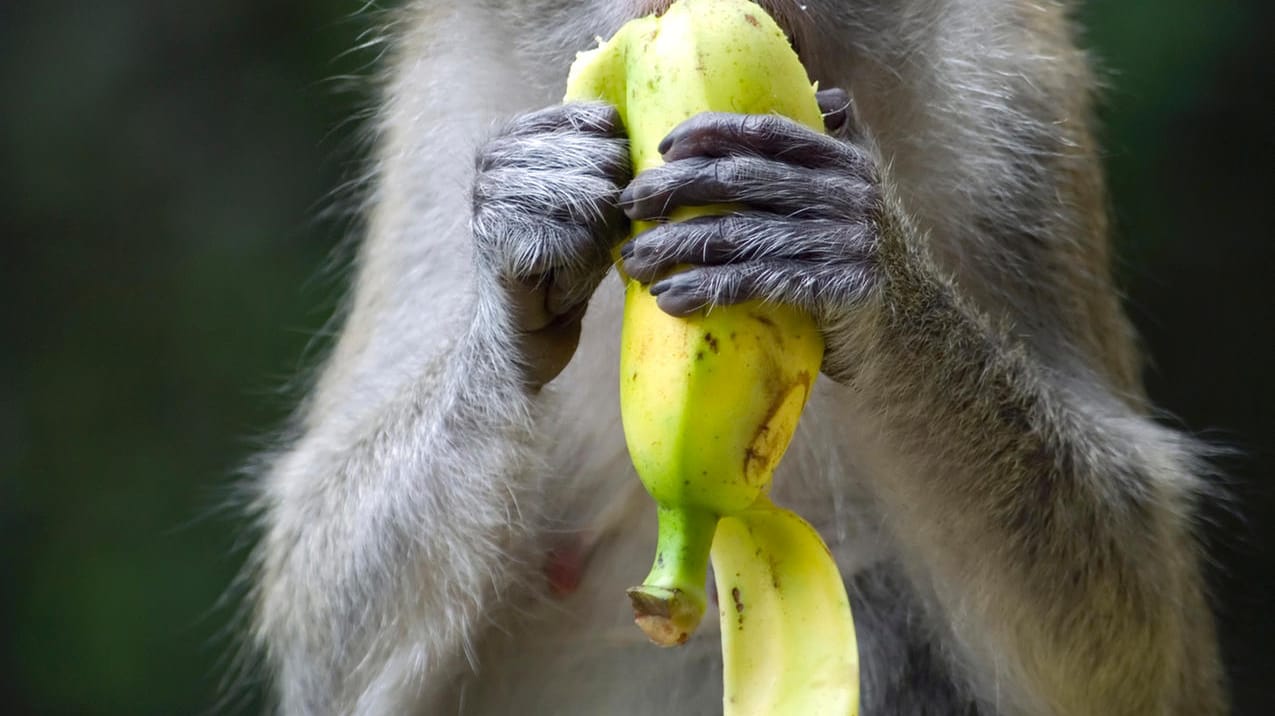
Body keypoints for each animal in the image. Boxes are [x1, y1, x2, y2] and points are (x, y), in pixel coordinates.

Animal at [243, 0, 1229, 708]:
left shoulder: (1020, 113)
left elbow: (1135, 637)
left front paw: (849, 254)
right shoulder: (434, 112)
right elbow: (316, 612)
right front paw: (529, 230)